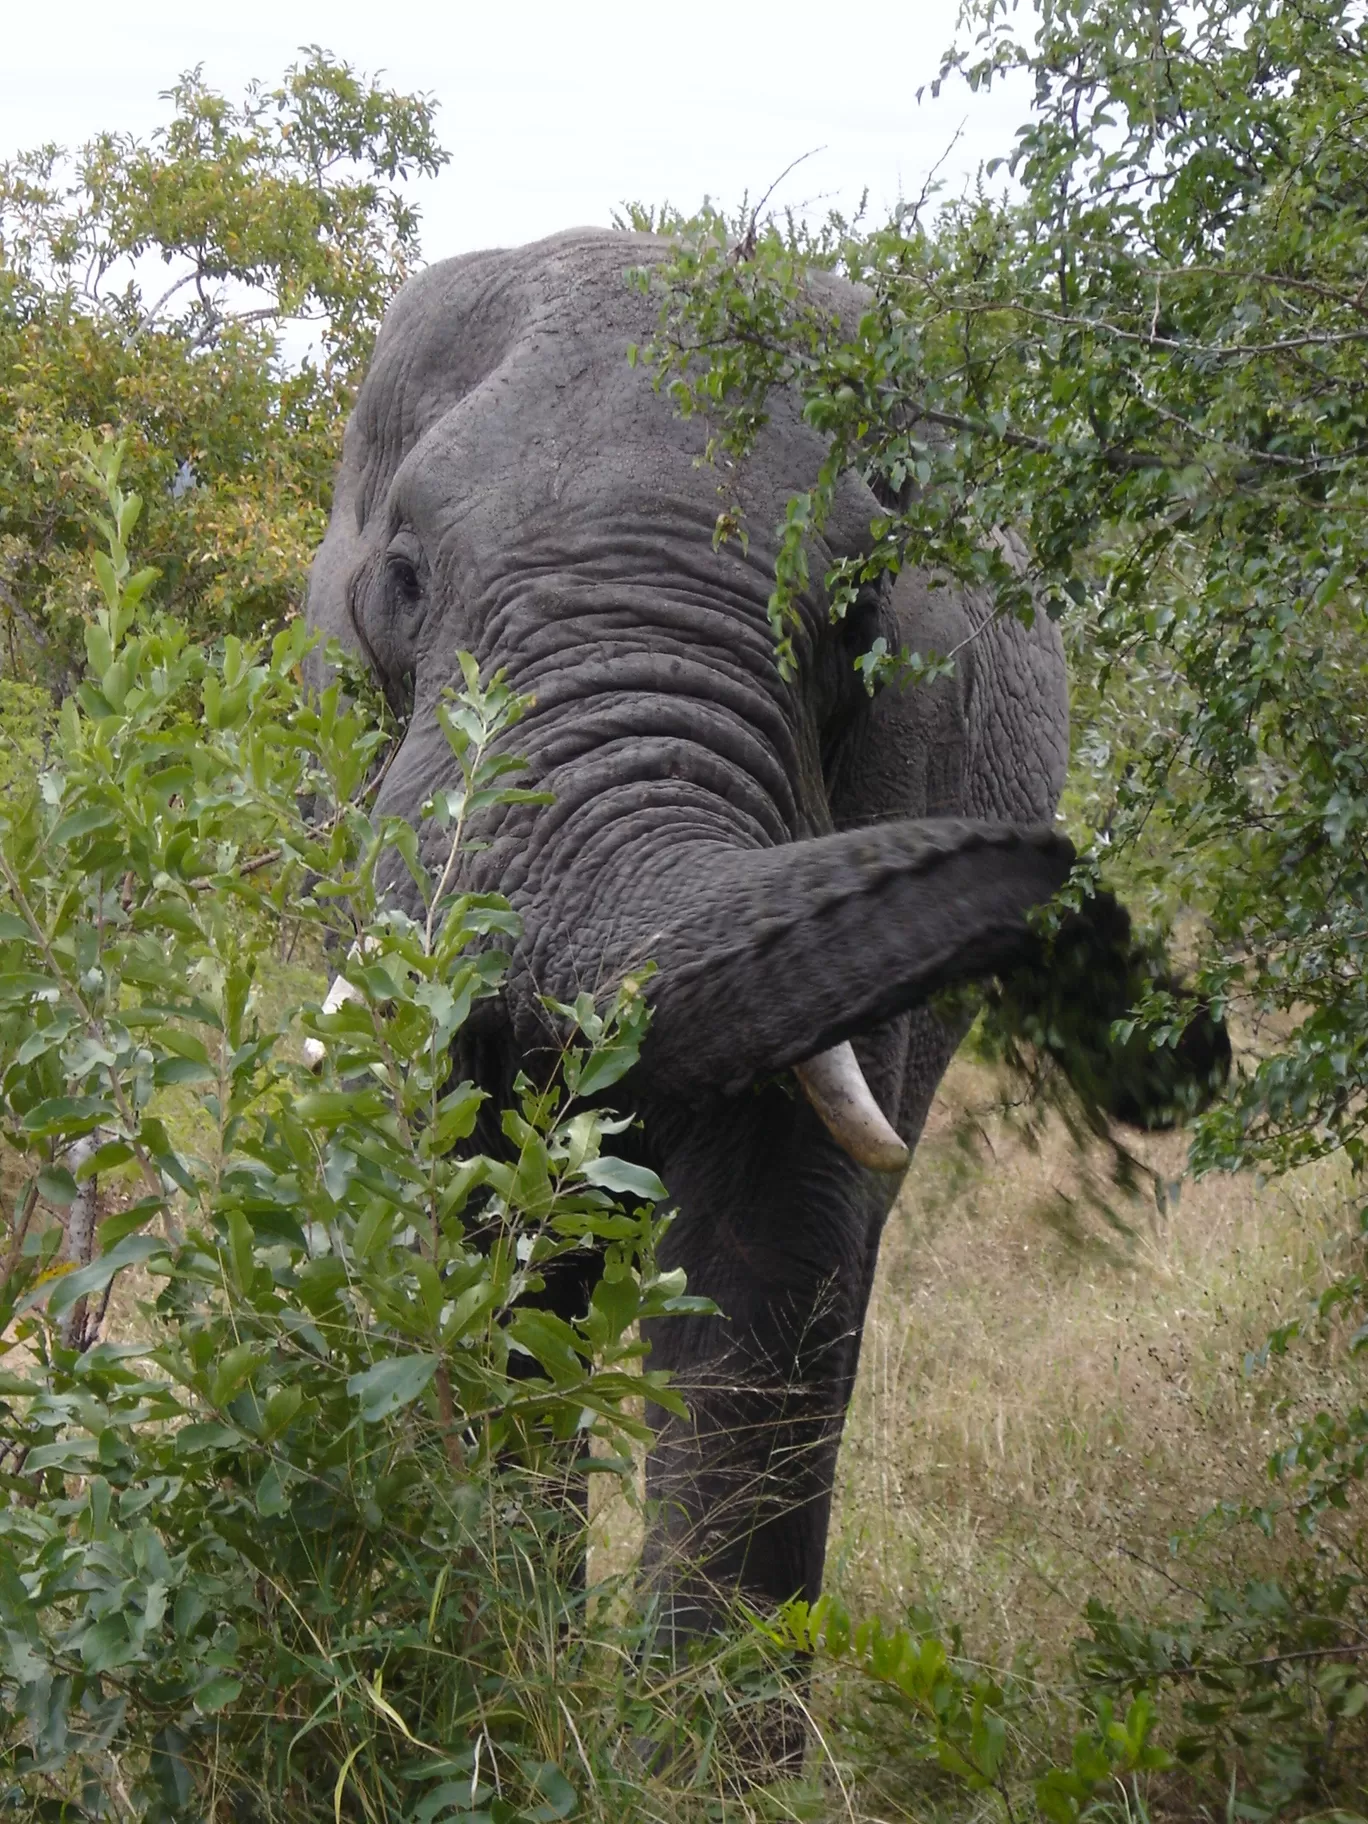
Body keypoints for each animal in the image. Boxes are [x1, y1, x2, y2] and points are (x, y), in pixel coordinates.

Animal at [310, 224, 1218, 1656]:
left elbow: (770, 1254)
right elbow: (473, 1216)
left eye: (857, 624)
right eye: (400, 586)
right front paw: (497, 1654)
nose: (1071, 881)